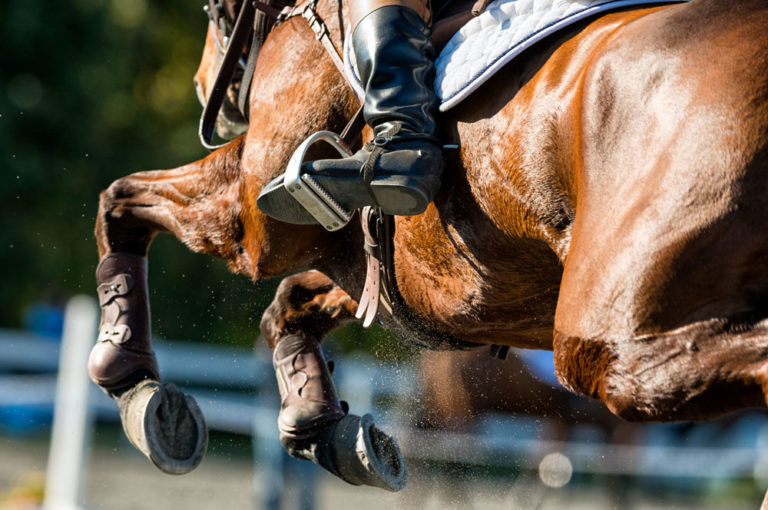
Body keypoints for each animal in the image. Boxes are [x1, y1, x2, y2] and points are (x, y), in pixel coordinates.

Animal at [88, 0, 768, 495]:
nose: (204, 81)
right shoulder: (418, 283)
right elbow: (289, 307)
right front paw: (318, 424)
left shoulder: (252, 221)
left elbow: (119, 200)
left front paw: (129, 377)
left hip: (608, 340)